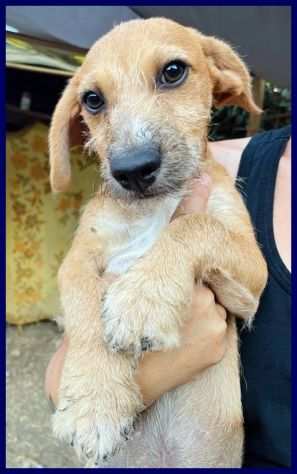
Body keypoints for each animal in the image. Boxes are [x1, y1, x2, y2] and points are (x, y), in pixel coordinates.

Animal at [48, 17, 266, 466]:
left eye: (173, 72)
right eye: (92, 100)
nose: (132, 170)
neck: (152, 207)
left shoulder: (253, 271)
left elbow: (195, 225)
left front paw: (143, 298)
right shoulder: (78, 257)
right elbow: (84, 307)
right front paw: (94, 402)